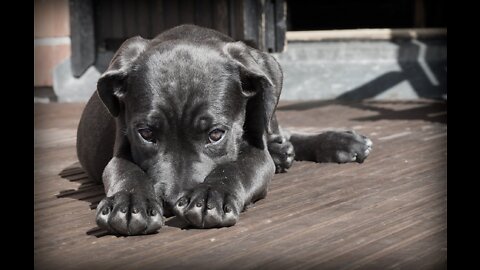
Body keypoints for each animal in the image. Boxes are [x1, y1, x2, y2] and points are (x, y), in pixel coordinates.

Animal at [77, 25, 374, 236]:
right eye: (146, 134)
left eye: (216, 134)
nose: (172, 202)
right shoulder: (121, 146)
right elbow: (125, 170)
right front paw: (129, 203)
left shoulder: (256, 152)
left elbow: (236, 167)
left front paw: (212, 195)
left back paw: (338, 142)